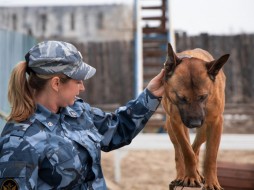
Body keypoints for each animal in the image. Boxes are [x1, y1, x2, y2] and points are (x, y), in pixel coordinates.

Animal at [163, 43, 230, 190]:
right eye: (181, 98)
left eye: (203, 97)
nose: (195, 123)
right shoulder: (176, 122)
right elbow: (186, 151)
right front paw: (190, 177)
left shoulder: (215, 122)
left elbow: (210, 156)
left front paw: (212, 183)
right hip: (171, 127)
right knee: (180, 150)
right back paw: (182, 175)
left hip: (204, 129)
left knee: (196, 147)